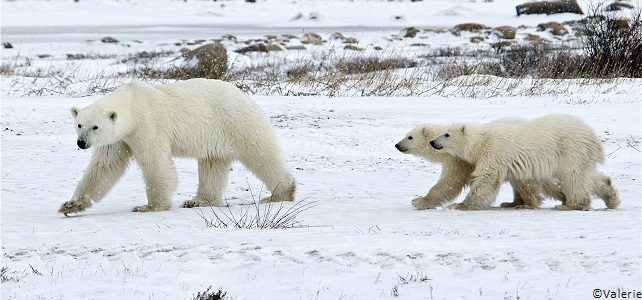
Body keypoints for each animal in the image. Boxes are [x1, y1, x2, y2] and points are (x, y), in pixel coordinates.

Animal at [58, 78, 294, 214]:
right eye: (79, 124)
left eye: (95, 126)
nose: (81, 143)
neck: (132, 102)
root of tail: (243, 95)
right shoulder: (119, 138)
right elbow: (104, 167)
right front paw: (71, 205)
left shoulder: (147, 124)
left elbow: (155, 162)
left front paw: (150, 206)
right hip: (216, 137)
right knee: (212, 164)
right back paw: (198, 201)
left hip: (236, 121)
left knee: (261, 153)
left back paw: (281, 193)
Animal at [428, 114, 616, 211]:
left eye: (446, 134)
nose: (432, 142)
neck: (482, 140)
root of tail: (592, 136)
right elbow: (524, 181)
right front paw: (516, 203)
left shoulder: (494, 152)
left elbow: (487, 179)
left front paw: (460, 205)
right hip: (581, 154)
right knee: (587, 175)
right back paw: (611, 198)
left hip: (570, 150)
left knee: (573, 176)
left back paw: (572, 205)